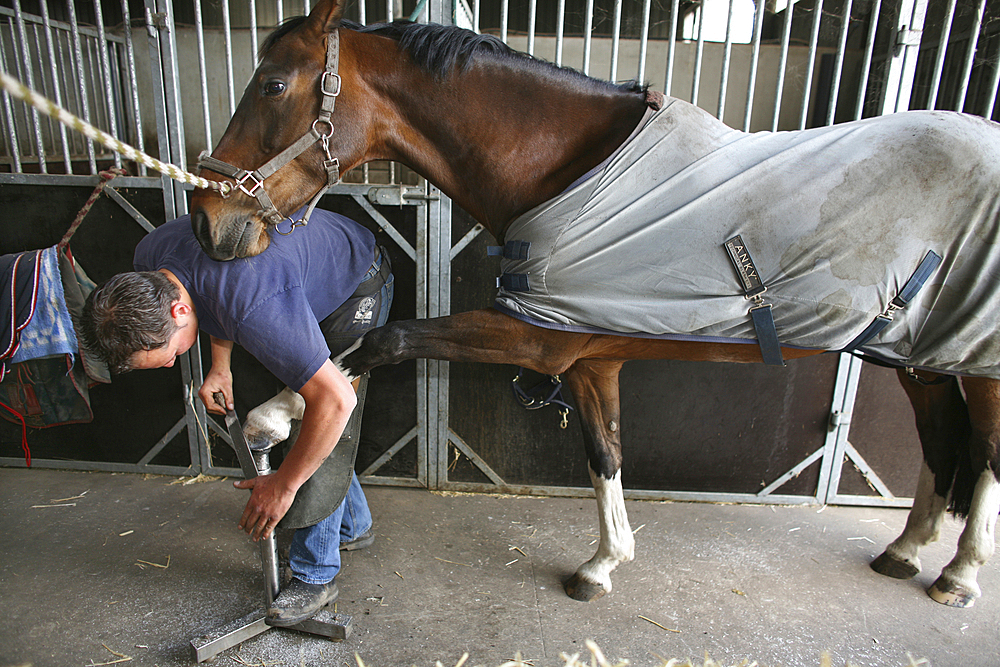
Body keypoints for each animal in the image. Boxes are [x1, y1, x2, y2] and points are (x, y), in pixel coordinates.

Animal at [188, 0, 1000, 612]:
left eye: (273, 85)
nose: (207, 220)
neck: (566, 166)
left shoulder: (534, 339)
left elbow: (388, 337)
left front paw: (269, 421)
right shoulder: (586, 354)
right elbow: (603, 452)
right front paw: (603, 563)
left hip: (981, 365)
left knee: (985, 454)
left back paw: (959, 575)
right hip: (925, 358)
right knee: (941, 443)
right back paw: (905, 550)